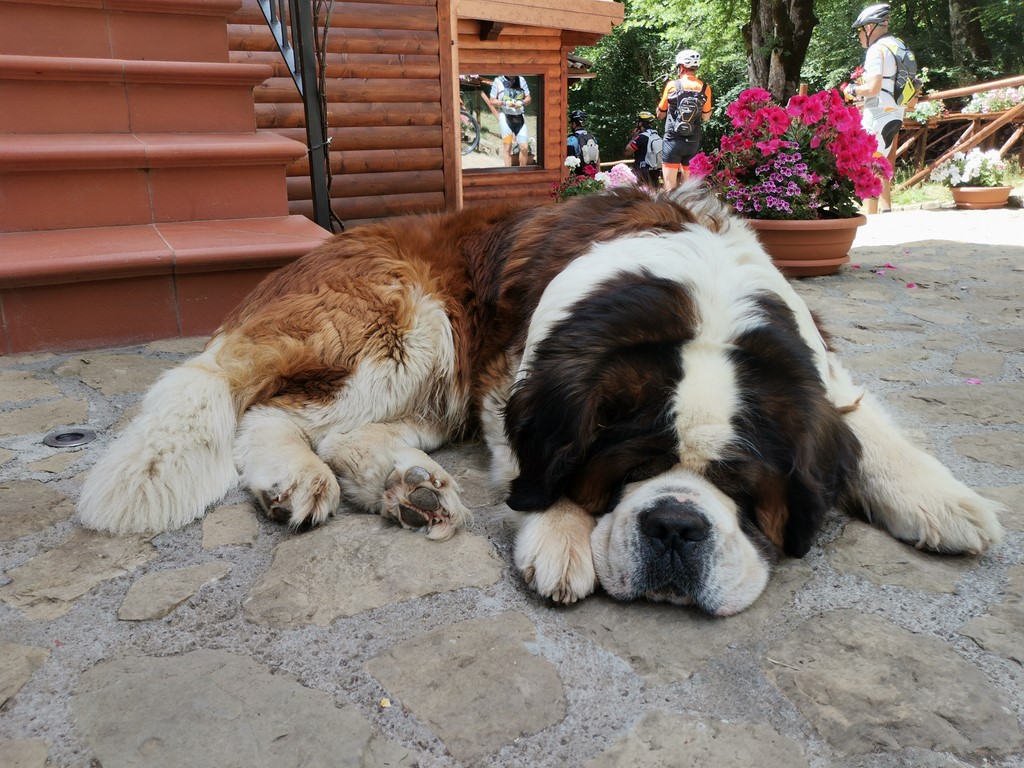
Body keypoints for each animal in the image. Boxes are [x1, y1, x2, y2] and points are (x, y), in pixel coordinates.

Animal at [78, 183, 1003, 616]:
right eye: (627, 473)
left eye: (742, 491)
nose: (676, 528)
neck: (697, 303)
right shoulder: (511, 372)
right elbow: (538, 463)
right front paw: (559, 535)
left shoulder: (819, 370)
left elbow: (871, 431)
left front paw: (945, 500)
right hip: (412, 322)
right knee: (268, 409)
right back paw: (294, 479)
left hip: (434, 375)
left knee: (341, 429)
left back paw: (409, 487)